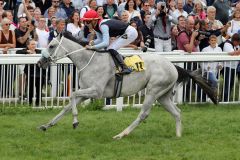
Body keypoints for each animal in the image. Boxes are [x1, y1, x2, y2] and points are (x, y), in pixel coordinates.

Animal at [38, 32, 218, 139]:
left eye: (52, 46)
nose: (40, 62)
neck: (88, 61)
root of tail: (174, 66)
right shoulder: (85, 92)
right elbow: (67, 106)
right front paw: (47, 125)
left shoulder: (96, 92)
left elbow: (72, 95)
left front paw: (75, 122)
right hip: (163, 95)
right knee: (177, 112)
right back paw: (178, 135)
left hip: (153, 91)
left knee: (143, 114)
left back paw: (121, 134)